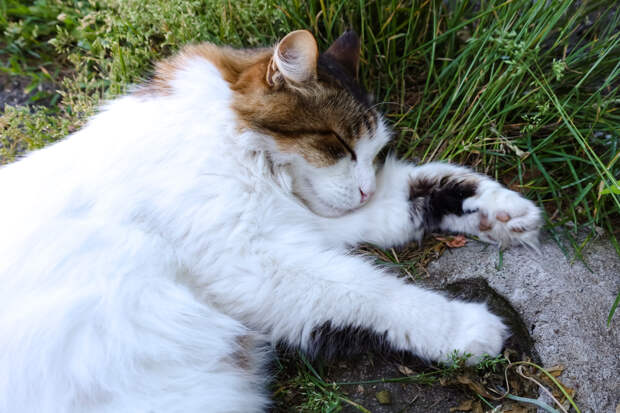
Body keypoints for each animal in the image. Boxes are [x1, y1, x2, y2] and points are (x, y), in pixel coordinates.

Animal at [0, 29, 540, 412]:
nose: (363, 188)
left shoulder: (306, 224)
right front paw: (466, 328)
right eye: (339, 146)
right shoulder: (254, 262)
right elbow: (375, 293)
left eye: (372, 154)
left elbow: (418, 190)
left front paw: (502, 213)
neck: (233, 141)